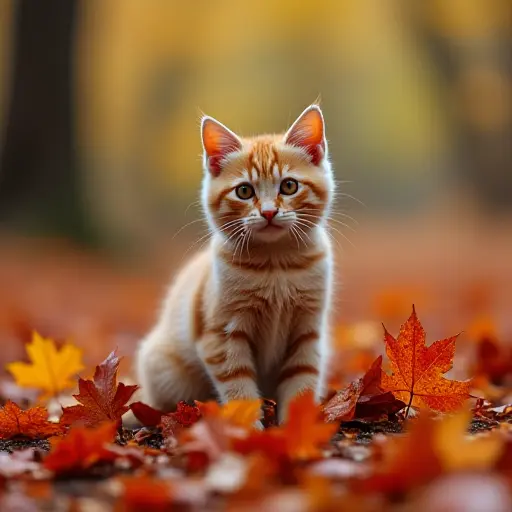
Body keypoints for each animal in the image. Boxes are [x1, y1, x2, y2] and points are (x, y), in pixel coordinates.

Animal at [136, 105, 336, 424]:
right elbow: (239, 389)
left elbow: (301, 385)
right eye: (244, 191)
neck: (275, 265)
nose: (268, 212)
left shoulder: (308, 333)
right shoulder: (222, 337)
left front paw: (296, 429)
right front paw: (248, 430)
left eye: (289, 186)